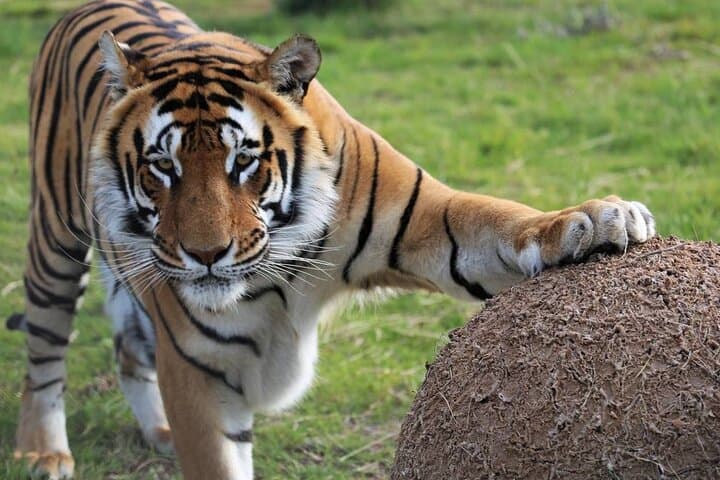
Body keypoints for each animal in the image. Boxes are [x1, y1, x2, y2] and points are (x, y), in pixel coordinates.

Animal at [6, 0, 656, 478]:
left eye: (244, 160)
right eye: (162, 167)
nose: (206, 255)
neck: (277, 267)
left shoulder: (431, 219)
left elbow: (501, 218)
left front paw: (599, 220)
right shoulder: (199, 374)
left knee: (125, 347)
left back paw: (155, 430)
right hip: (53, 242)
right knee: (43, 353)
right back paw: (43, 452)